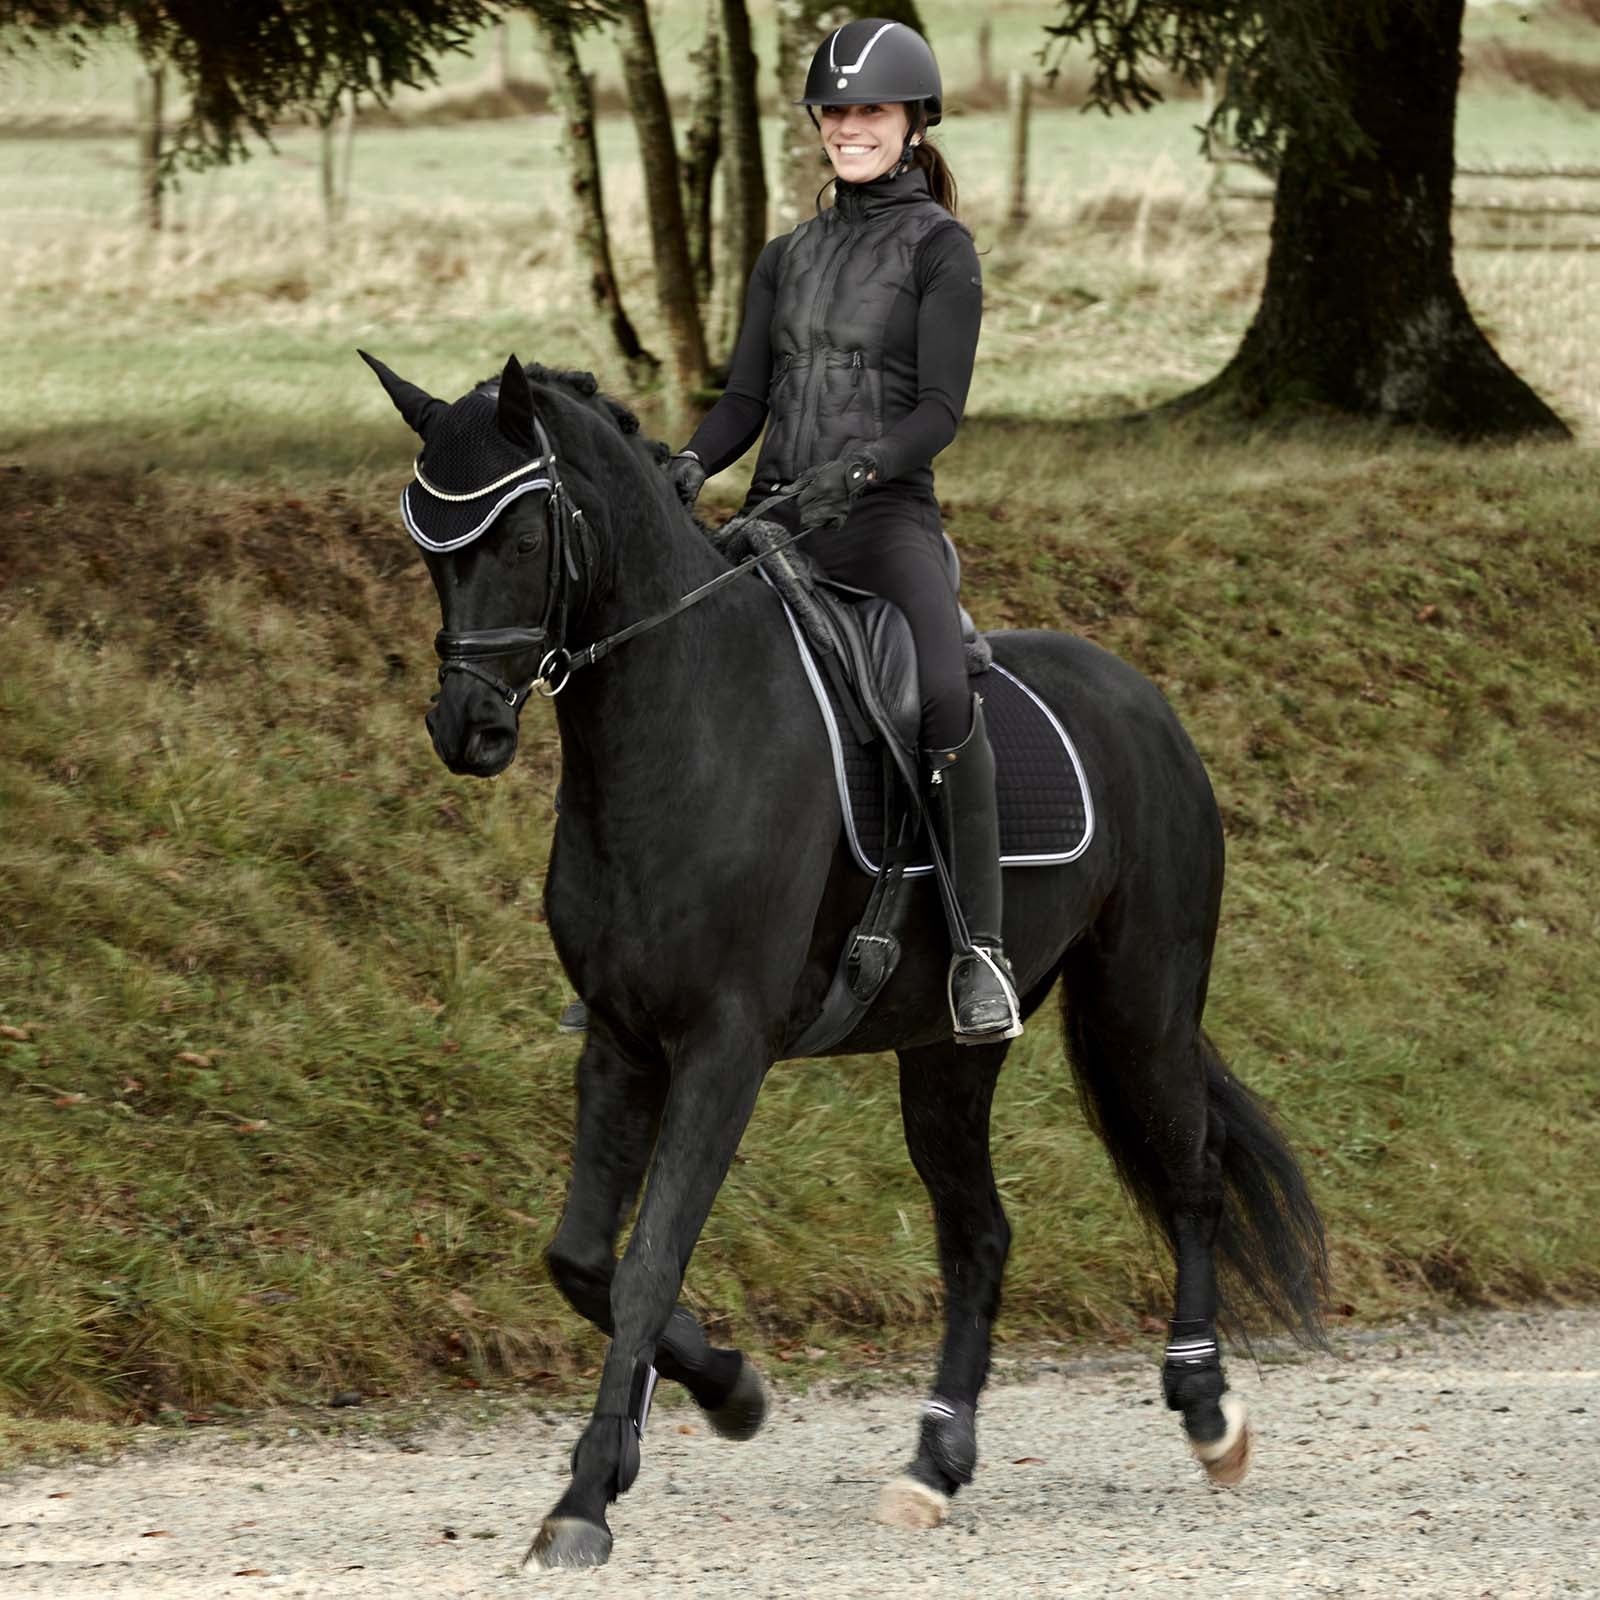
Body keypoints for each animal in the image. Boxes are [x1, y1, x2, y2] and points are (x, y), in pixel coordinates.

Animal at [360, 351, 1328, 1570]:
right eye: (428, 549)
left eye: (527, 537)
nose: (468, 730)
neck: (681, 724)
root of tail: (1143, 699)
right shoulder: (623, 1041)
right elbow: (582, 1256)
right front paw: (725, 1389)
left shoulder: (723, 1047)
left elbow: (647, 1255)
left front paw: (586, 1494)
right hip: (950, 1053)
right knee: (980, 1236)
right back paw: (935, 1461)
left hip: (1139, 1002)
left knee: (1189, 1174)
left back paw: (1205, 1409)